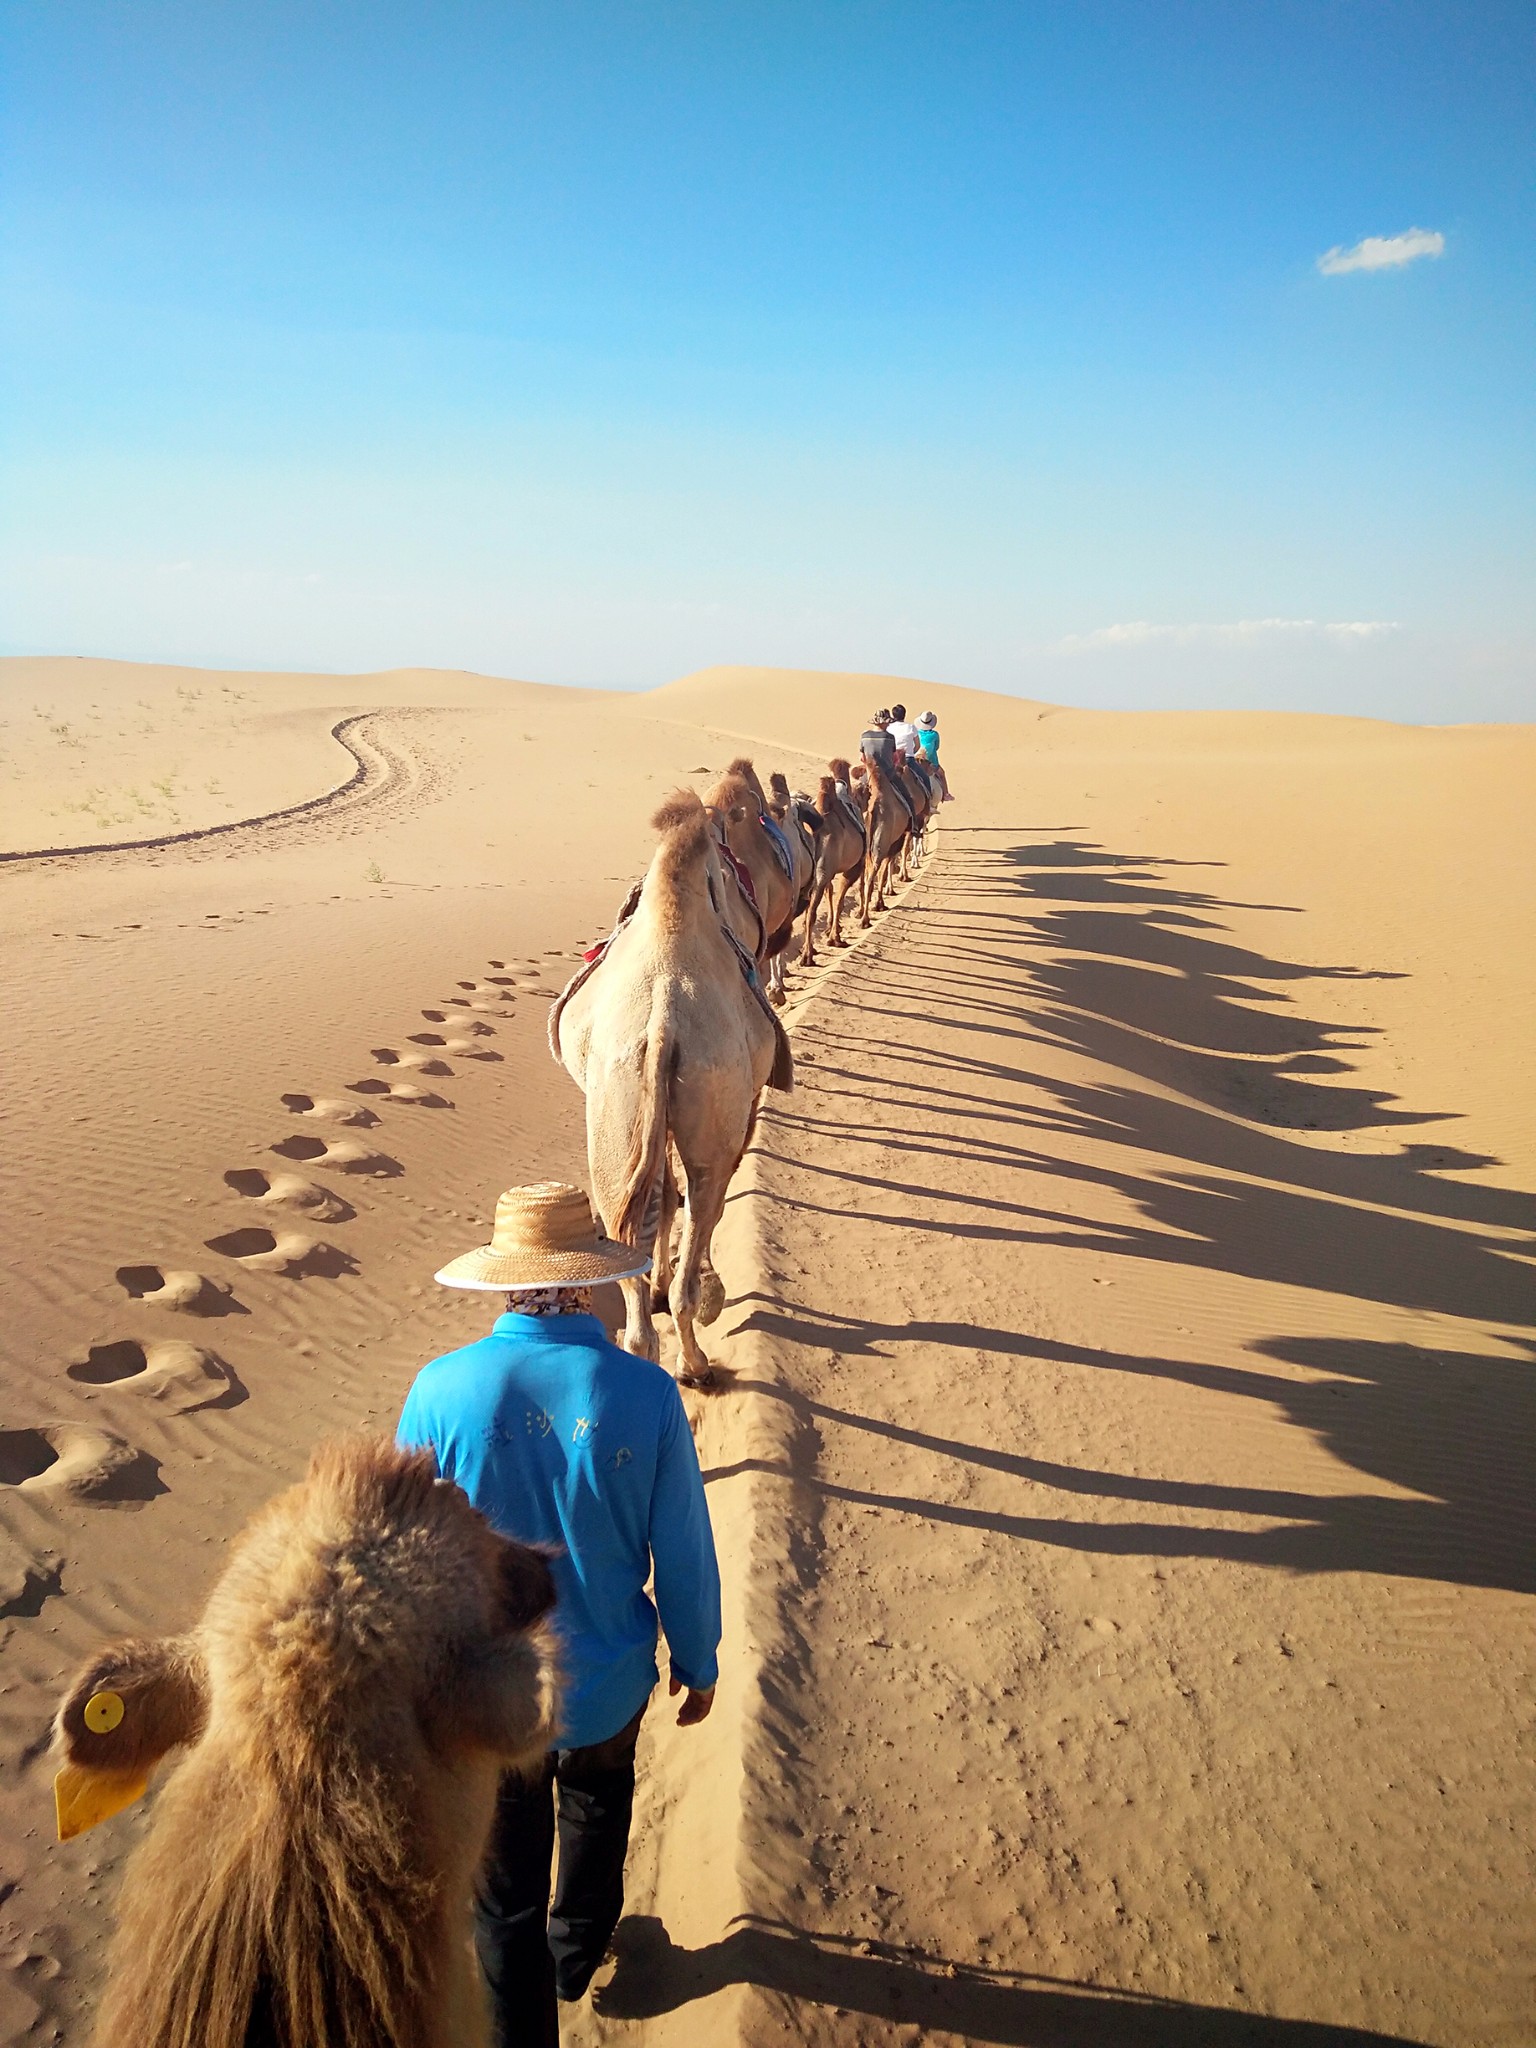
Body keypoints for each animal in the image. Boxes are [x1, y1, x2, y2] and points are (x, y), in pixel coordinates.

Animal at [552, 790, 794, 1384]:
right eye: (732, 864)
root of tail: (662, 1022)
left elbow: (659, 1197)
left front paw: (661, 1281)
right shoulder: (741, 1107)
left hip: (613, 1116)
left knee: (631, 1235)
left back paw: (649, 1345)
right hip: (712, 1113)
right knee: (705, 1201)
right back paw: (696, 1358)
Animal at [806, 765, 868, 962]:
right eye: (866, 791)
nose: (870, 796)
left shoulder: (830, 871)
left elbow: (831, 892)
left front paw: (830, 930)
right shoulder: (854, 867)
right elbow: (840, 899)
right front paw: (835, 937)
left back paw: (808, 950)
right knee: (812, 911)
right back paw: (807, 955)